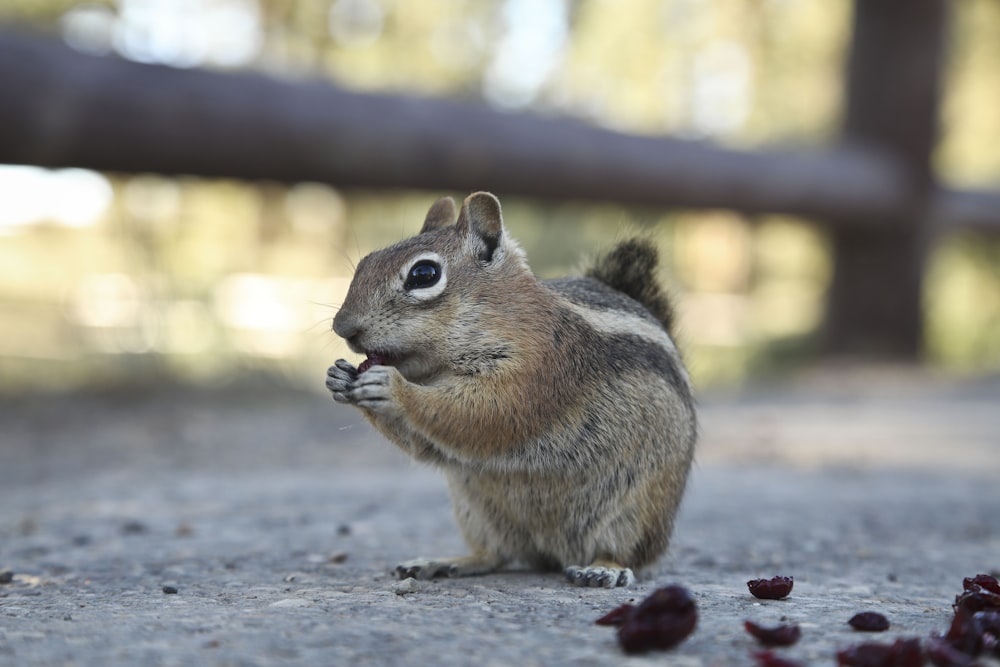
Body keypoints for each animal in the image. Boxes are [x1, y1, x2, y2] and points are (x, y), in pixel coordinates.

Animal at [328, 190, 696, 588]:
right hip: (476, 511)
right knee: (495, 554)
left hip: (636, 511)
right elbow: (427, 444)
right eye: (365, 262)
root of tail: (552, 553)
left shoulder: (538, 367)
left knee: (627, 554)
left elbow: (485, 414)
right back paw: (444, 562)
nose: (342, 327)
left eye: (424, 274)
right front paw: (338, 377)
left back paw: (603, 568)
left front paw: (393, 388)